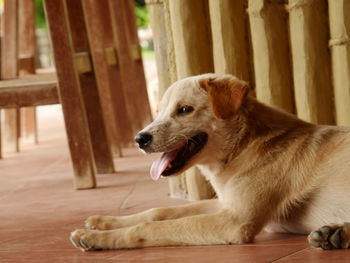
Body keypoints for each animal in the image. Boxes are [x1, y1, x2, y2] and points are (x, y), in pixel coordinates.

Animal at [69, 73, 350, 252]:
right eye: (159, 111)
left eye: (184, 110)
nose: (139, 139)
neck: (244, 145)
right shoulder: (224, 203)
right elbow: (159, 212)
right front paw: (104, 222)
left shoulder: (234, 221)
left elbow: (151, 226)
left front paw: (96, 237)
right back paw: (334, 234)